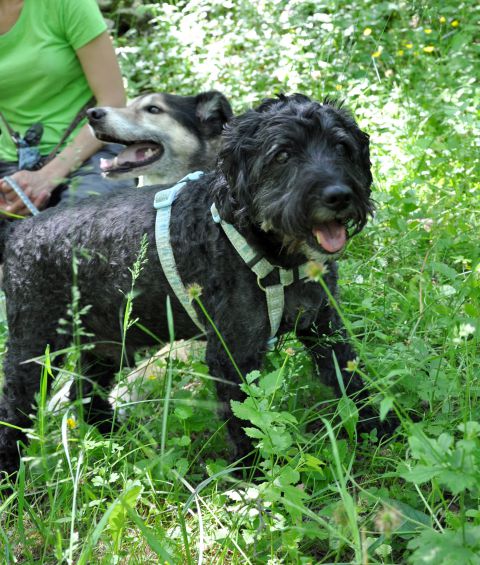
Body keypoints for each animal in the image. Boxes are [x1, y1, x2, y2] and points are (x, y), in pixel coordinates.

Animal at [0, 94, 382, 474]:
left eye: (341, 147)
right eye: (283, 155)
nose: (338, 196)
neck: (270, 249)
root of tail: (18, 230)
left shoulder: (324, 328)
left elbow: (350, 381)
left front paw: (378, 431)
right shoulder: (231, 354)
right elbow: (245, 420)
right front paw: (253, 475)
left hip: (110, 342)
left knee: (84, 394)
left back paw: (119, 438)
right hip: (34, 346)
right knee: (15, 407)